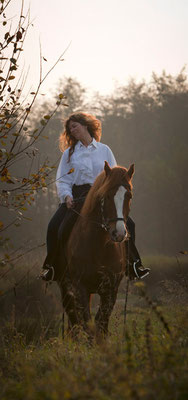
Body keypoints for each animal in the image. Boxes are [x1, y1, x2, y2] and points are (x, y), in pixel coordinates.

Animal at [56, 161, 134, 336]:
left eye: (129, 196)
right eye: (106, 196)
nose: (119, 233)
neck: (99, 246)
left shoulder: (111, 289)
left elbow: (101, 325)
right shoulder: (80, 287)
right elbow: (87, 325)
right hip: (66, 287)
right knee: (74, 320)